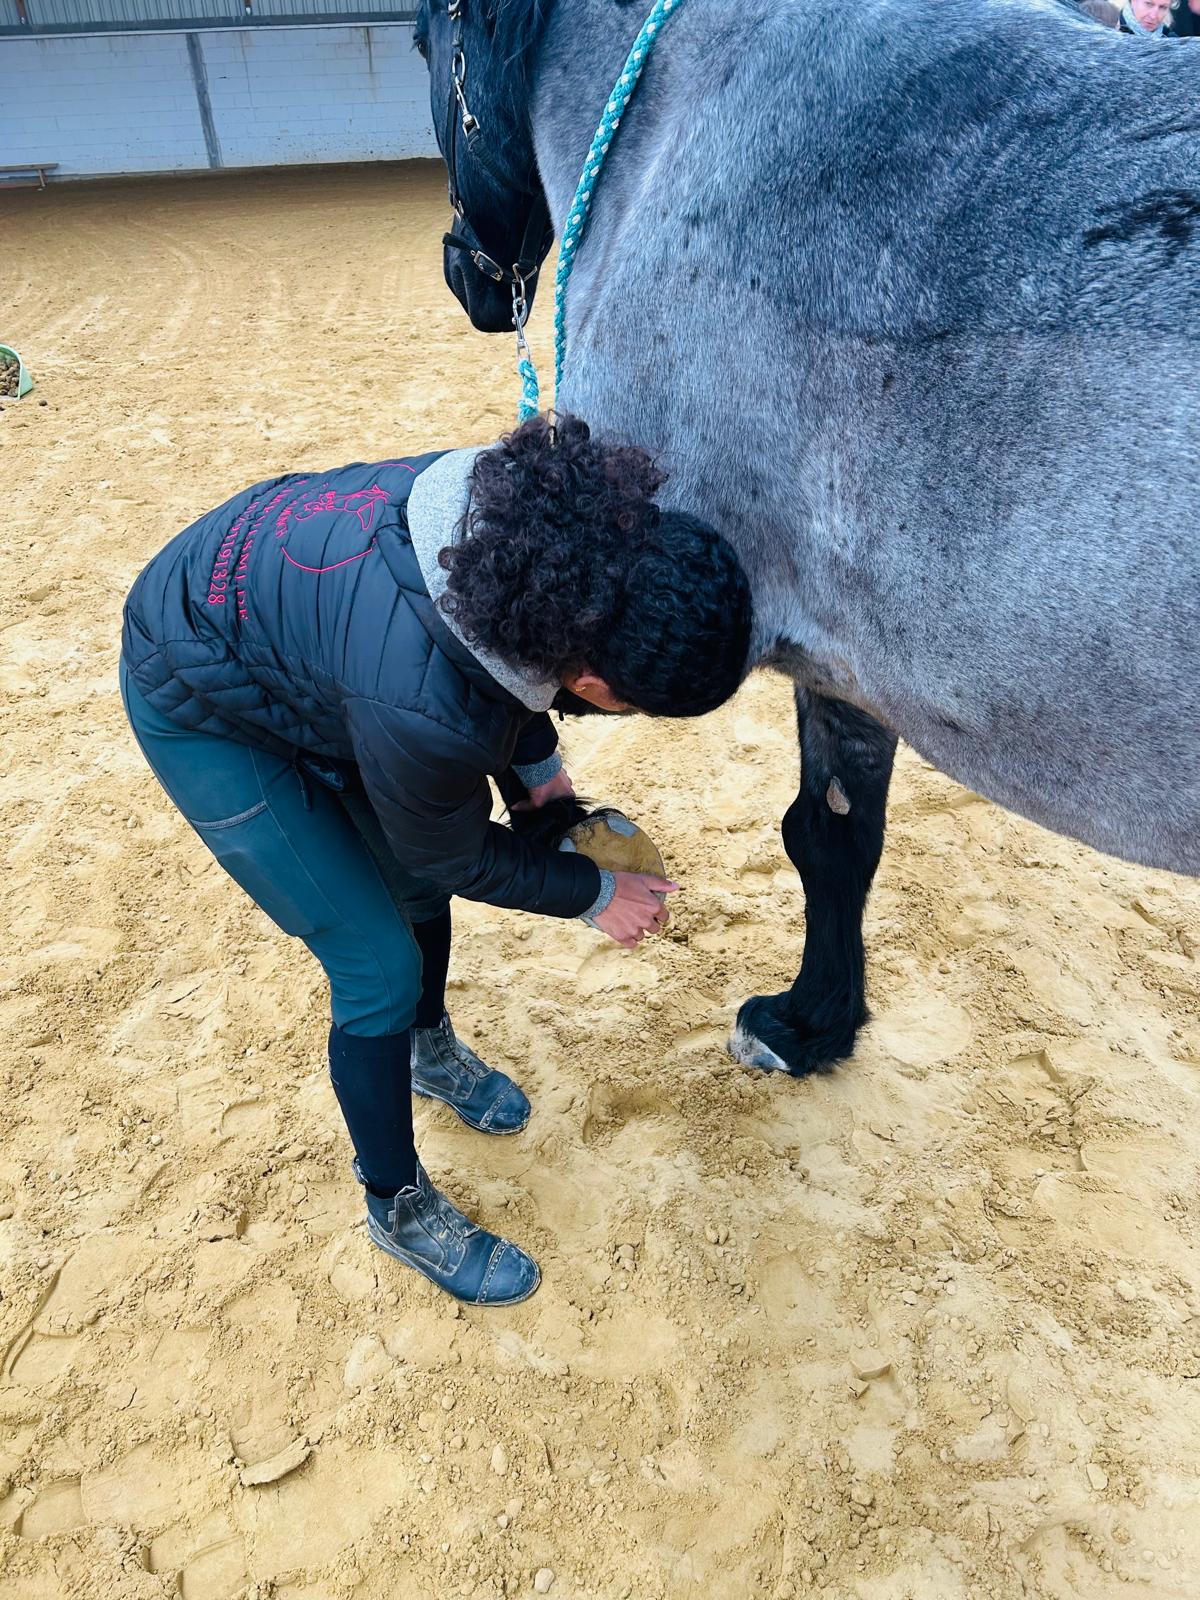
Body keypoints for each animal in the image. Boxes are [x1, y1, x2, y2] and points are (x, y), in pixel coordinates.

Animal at [413, 0, 1200, 1077]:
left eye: (424, 46)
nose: (464, 274)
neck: (681, 113)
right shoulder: (850, 663)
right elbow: (835, 837)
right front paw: (819, 1019)